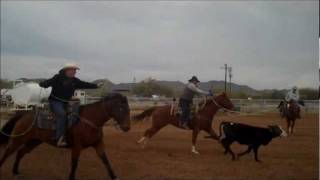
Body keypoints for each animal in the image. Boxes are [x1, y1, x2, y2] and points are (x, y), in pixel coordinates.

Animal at [0, 93, 130, 179]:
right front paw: (71, 178)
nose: (127, 127)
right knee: (8, 152)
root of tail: (23, 114)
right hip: (18, 139)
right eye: (120, 108)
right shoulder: (77, 146)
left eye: (128, 108)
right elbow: (74, 163)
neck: (90, 119)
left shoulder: (98, 144)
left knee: (21, 152)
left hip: (34, 141)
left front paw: (114, 176)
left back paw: (15, 171)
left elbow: (106, 160)